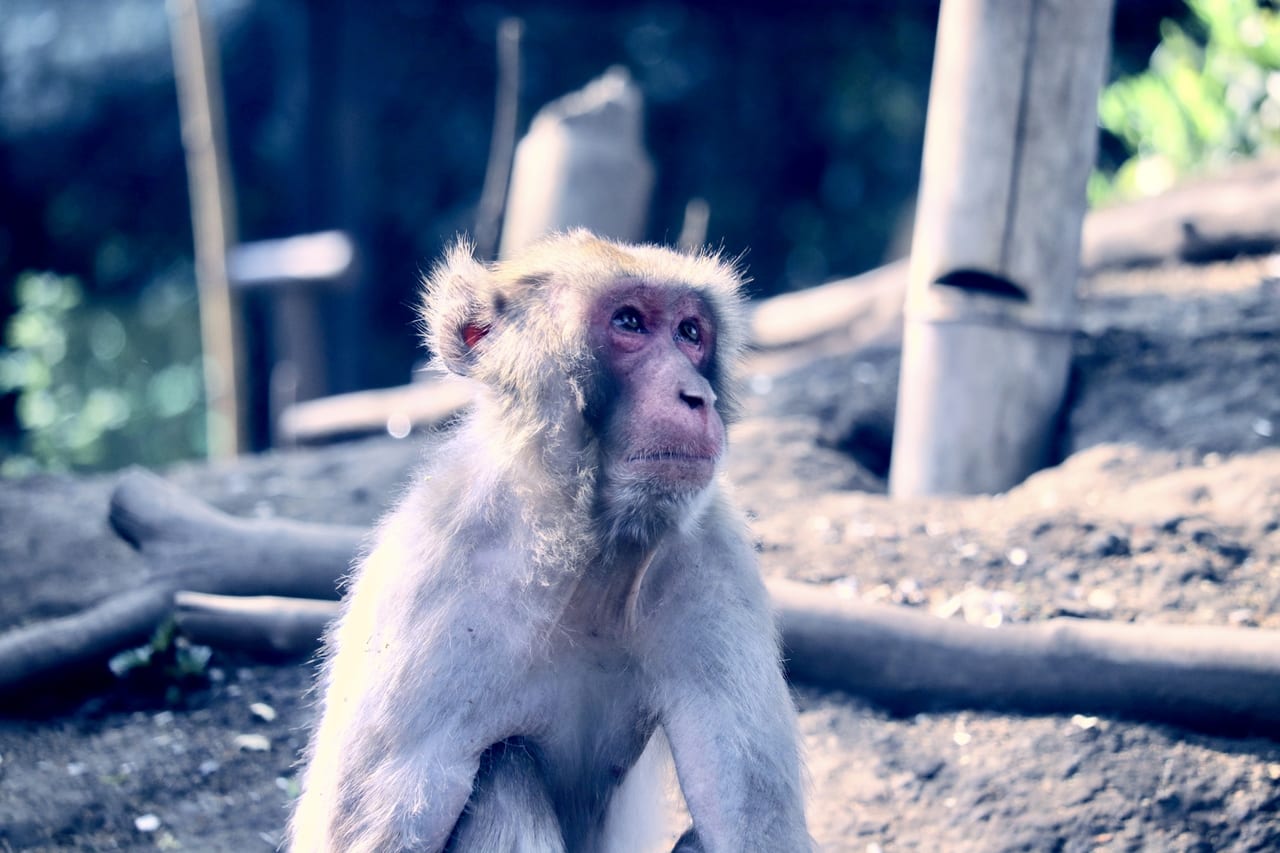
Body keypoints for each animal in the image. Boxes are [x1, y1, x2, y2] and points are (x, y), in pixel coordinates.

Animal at [289, 229, 808, 845]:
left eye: (689, 332)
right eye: (629, 322)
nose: (695, 396)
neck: (581, 548)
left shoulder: (717, 563)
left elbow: (749, 825)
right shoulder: (426, 580)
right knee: (505, 770)